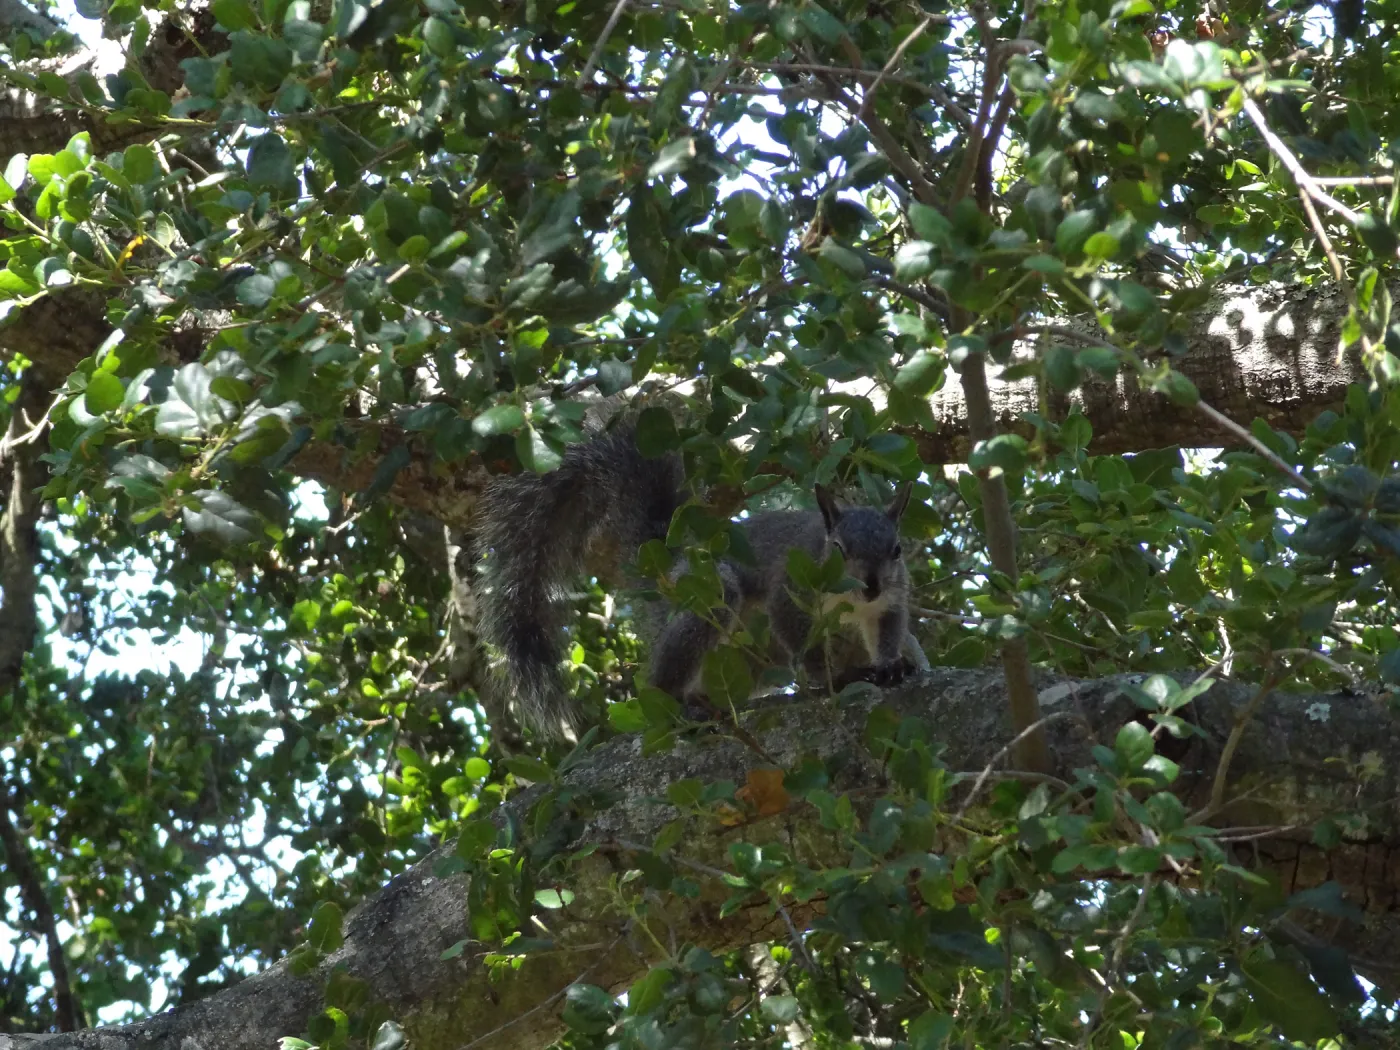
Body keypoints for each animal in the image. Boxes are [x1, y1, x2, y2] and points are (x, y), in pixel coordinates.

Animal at [474, 422, 915, 737]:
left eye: (897, 550)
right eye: (838, 549)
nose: (871, 585)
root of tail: (666, 573)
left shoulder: (891, 601)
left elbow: (889, 629)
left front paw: (890, 666)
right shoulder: (791, 588)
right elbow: (800, 638)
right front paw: (832, 677)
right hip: (706, 594)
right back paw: (677, 706)